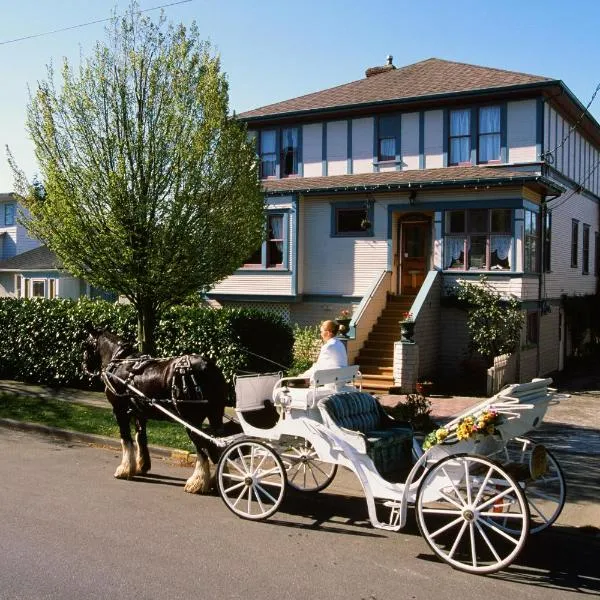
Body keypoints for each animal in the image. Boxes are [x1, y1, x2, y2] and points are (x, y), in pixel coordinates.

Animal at [83, 326, 233, 494]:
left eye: (85, 345)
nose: (85, 366)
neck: (120, 362)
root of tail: (208, 367)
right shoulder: (139, 413)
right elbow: (140, 438)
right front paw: (141, 466)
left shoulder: (119, 410)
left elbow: (126, 439)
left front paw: (124, 469)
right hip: (215, 415)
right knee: (219, 445)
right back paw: (219, 480)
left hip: (191, 420)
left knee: (203, 448)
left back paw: (197, 482)